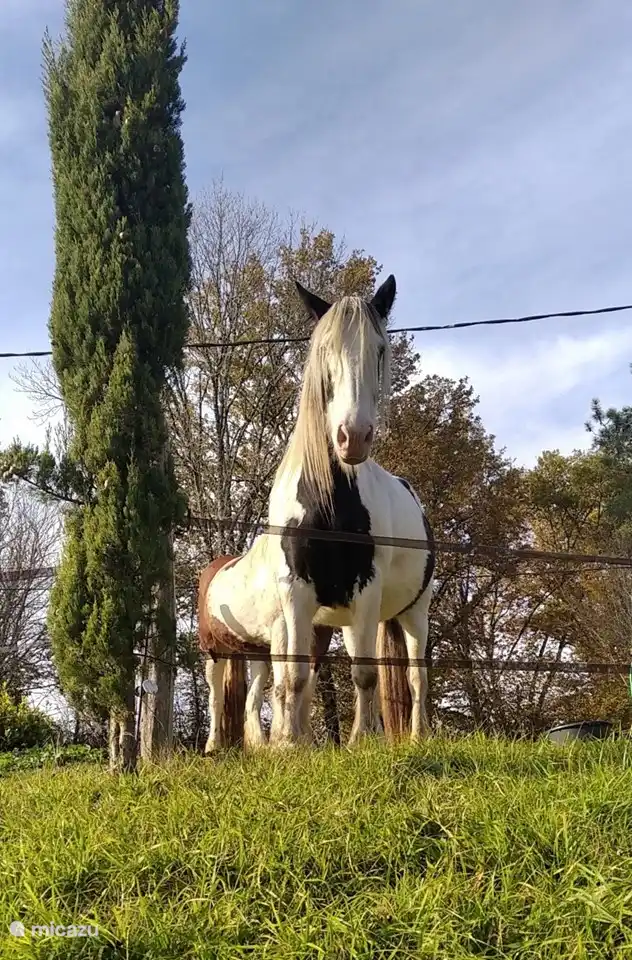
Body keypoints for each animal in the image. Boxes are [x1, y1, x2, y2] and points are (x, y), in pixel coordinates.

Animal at [198, 273, 435, 749]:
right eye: (325, 350)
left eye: (379, 350)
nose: (353, 437)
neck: (326, 502)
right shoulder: (296, 595)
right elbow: (293, 677)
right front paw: (291, 743)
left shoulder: (366, 591)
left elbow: (365, 675)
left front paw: (361, 740)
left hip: (412, 612)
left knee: (417, 677)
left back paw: (417, 737)